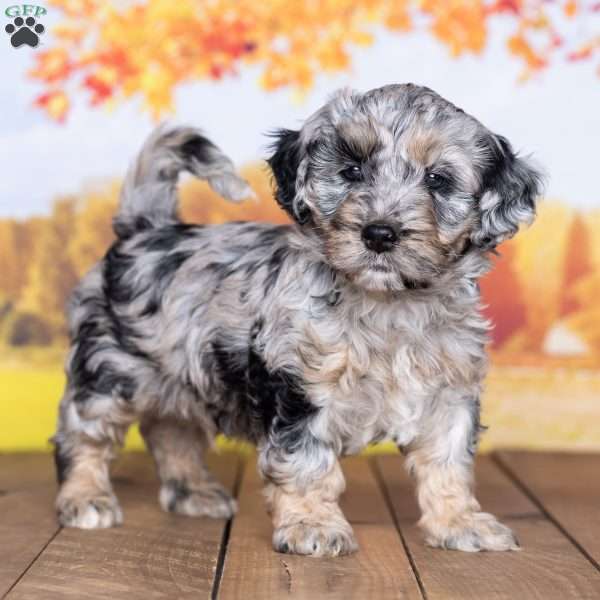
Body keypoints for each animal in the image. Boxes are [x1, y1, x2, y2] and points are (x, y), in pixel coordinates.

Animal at [54, 84, 544, 556]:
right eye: (351, 171)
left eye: (437, 179)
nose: (379, 234)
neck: (389, 305)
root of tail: (145, 230)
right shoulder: (300, 387)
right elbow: (306, 463)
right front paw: (314, 526)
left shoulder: (449, 394)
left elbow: (448, 463)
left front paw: (460, 523)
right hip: (107, 370)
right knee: (83, 433)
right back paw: (85, 498)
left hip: (181, 372)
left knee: (170, 429)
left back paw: (193, 492)